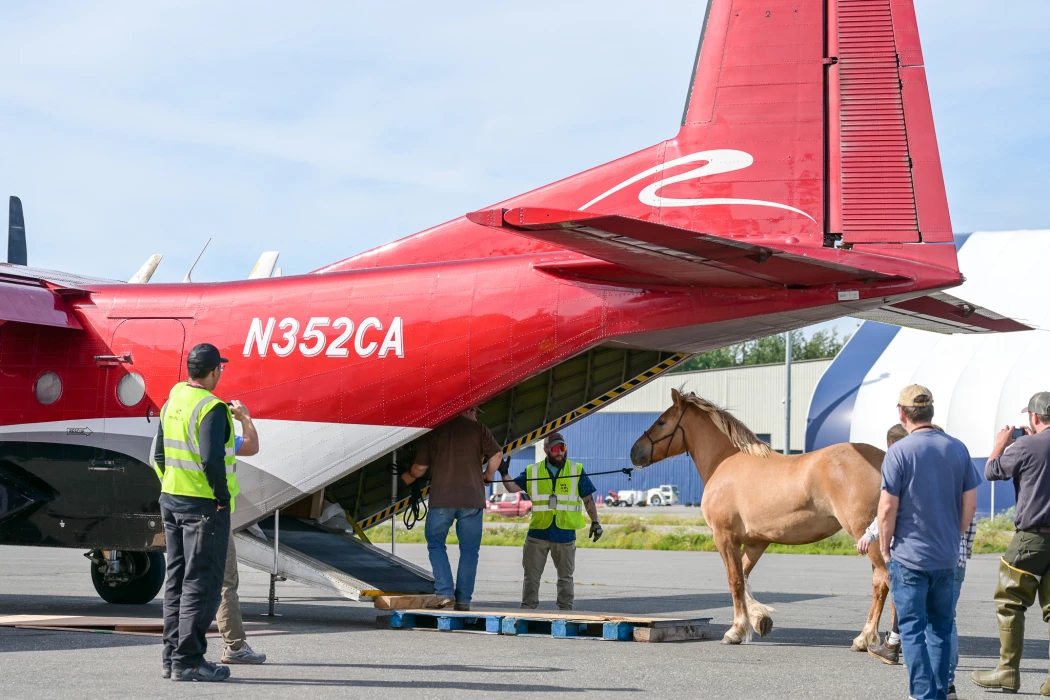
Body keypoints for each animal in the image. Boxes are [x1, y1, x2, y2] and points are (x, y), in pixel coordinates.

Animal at [625, 388, 890, 650]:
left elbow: (734, 581)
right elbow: (743, 578)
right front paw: (759, 619)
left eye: (661, 422)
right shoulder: (757, 541)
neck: (725, 461)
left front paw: (735, 631)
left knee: (884, 581)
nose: (634, 452)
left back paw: (869, 639)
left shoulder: (725, 537)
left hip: (867, 536)